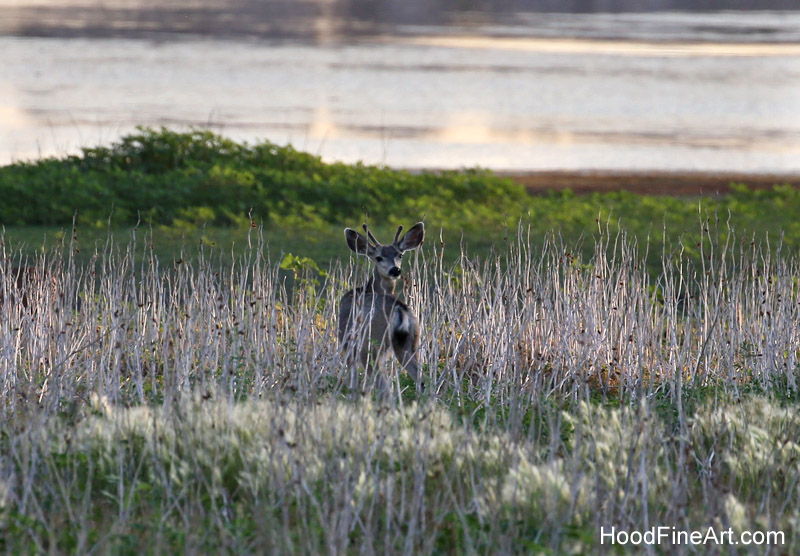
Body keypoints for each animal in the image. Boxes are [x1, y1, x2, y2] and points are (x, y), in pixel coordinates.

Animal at [338, 222, 425, 394]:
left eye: (400, 255)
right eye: (379, 257)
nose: (395, 270)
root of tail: (399, 308)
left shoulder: (348, 342)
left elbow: (353, 379)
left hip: (370, 344)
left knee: (383, 385)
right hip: (410, 342)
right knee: (423, 380)